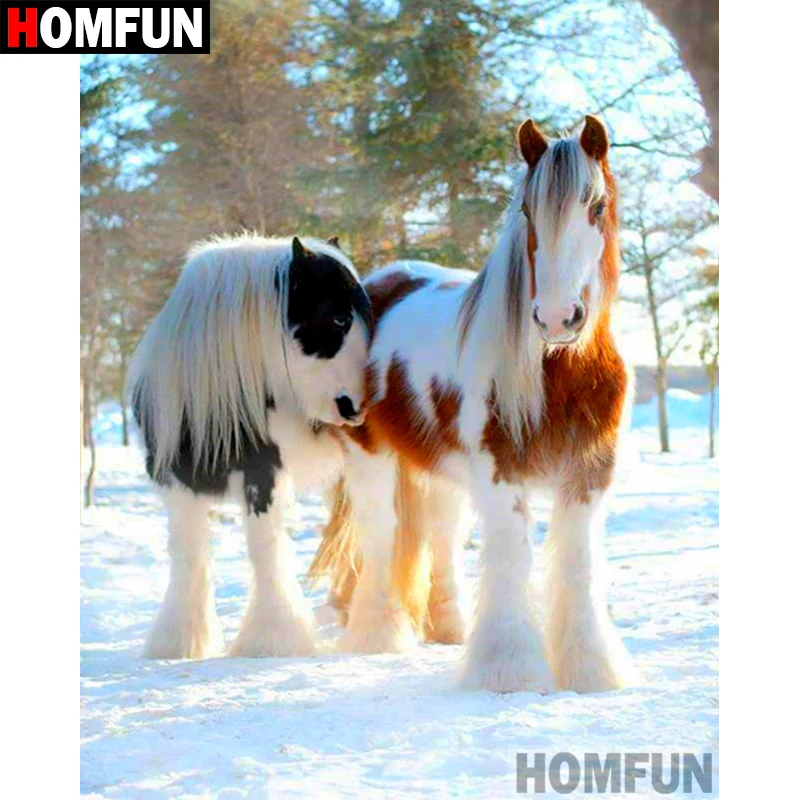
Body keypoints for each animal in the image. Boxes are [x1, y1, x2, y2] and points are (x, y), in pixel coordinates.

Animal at [128, 234, 373, 660]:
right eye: (338, 319)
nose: (360, 404)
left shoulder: (265, 475)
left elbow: (265, 546)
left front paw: (273, 639)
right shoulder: (176, 481)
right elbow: (188, 551)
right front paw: (180, 642)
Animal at [310, 115, 638, 693]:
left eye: (596, 207)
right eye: (528, 211)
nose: (557, 318)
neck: (560, 373)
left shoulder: (589, 475)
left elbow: (577, 567)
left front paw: (590, 670)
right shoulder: (499, 472)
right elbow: (511, 559)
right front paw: (509, 672)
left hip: (442, 473)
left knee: (440, 534)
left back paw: (448, 629)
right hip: (370, 459)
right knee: (380, 535)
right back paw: (379, 635)